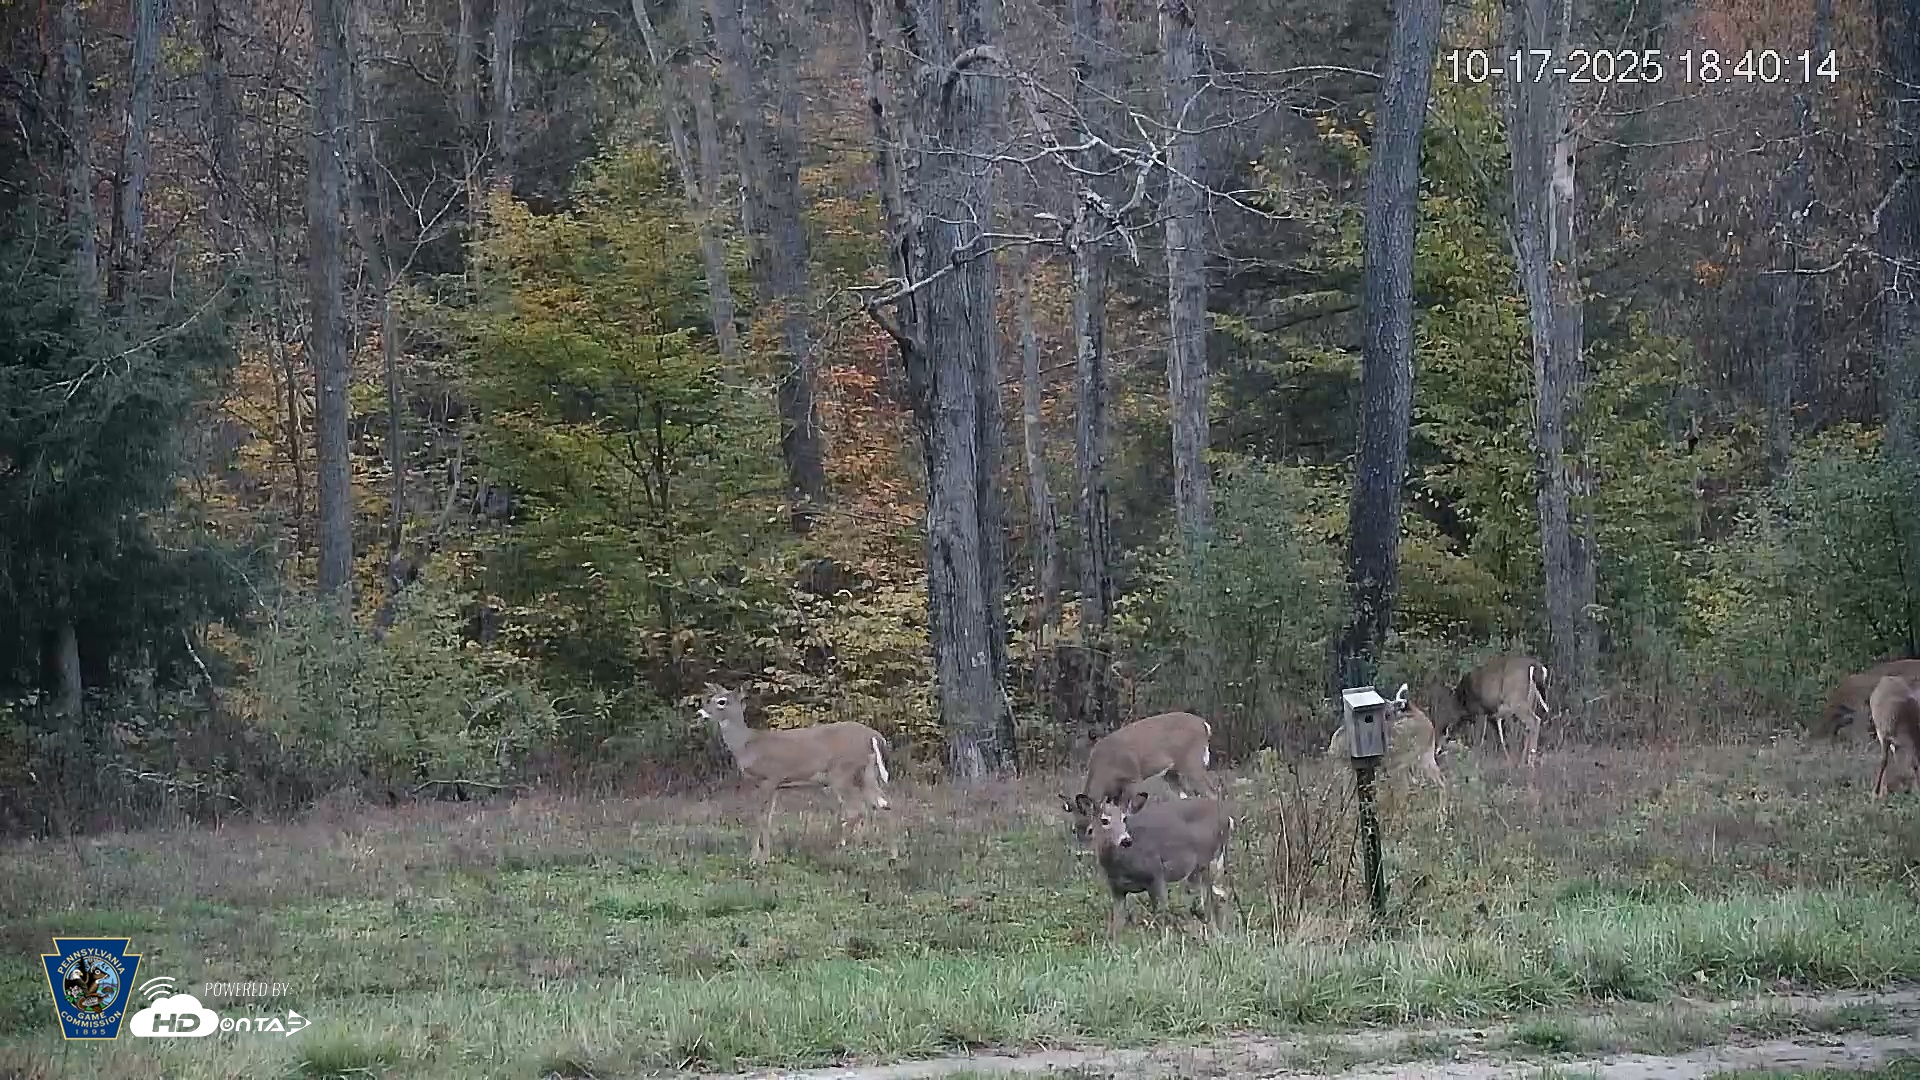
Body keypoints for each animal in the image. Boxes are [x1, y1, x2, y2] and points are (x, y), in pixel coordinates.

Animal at [697, 684, 896, 865]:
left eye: (722, 701)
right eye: (710, 698)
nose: (700, 713)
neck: (747, 745)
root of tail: (875, 736)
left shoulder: (768, 778)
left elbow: (760, 818)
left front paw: (756, 859)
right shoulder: (775, 785)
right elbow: (768, 818)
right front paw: (765, 856)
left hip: (842, 773)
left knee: (858, 810)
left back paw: (839, 851)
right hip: (866, 774)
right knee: (881, 804)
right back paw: (879, 853)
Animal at [1059, 711, 1214, 850]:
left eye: (1090, 829)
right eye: (1074, 829)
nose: (1081, 850)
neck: (1105, 769)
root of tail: (1204, 724)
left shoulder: (1132, 779)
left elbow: (1125, 809)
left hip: (1192, 763)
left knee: (1212, 793)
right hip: (1171, 773)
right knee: (1188, 796)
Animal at [1084, 789, 1233, 941]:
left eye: (1124, 819)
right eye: (1104, 820)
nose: (1126, 840)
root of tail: (1227, 818)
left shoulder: (1156, 873)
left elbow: (1161, 913)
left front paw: (1164, 940)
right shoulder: (1117, 889)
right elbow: (1117, 924)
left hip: (1208, 861)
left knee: (1214, 897)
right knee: (1220, 894)